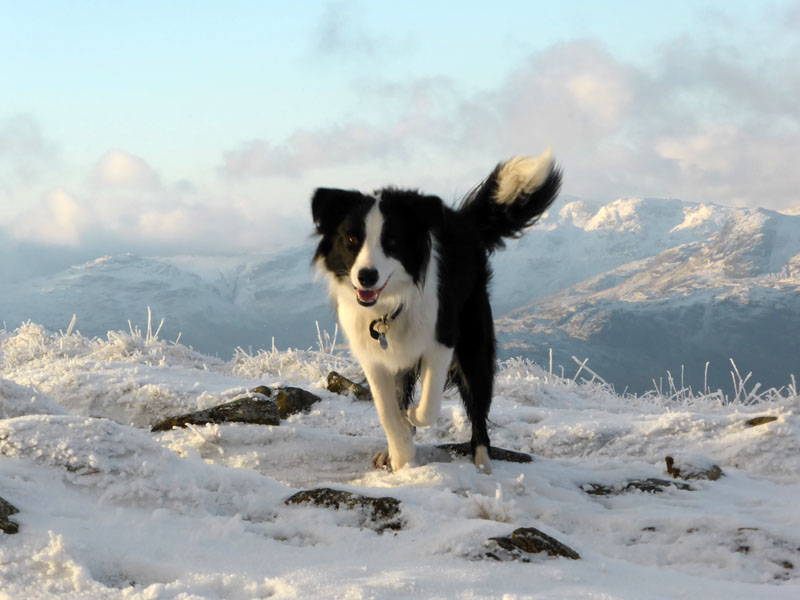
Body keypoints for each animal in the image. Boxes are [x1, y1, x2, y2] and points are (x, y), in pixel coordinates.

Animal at [312, 150, 564, 474]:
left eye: (391, 242)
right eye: (352, 240)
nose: (366, 276)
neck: (390, 307)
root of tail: (464, 222)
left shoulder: (442, 338)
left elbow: (427, 406)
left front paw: (412, 419)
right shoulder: (373, 354)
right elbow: (388, 412)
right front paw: (401, 455)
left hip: (474, 343)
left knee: (478, 415)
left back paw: (483, 465)